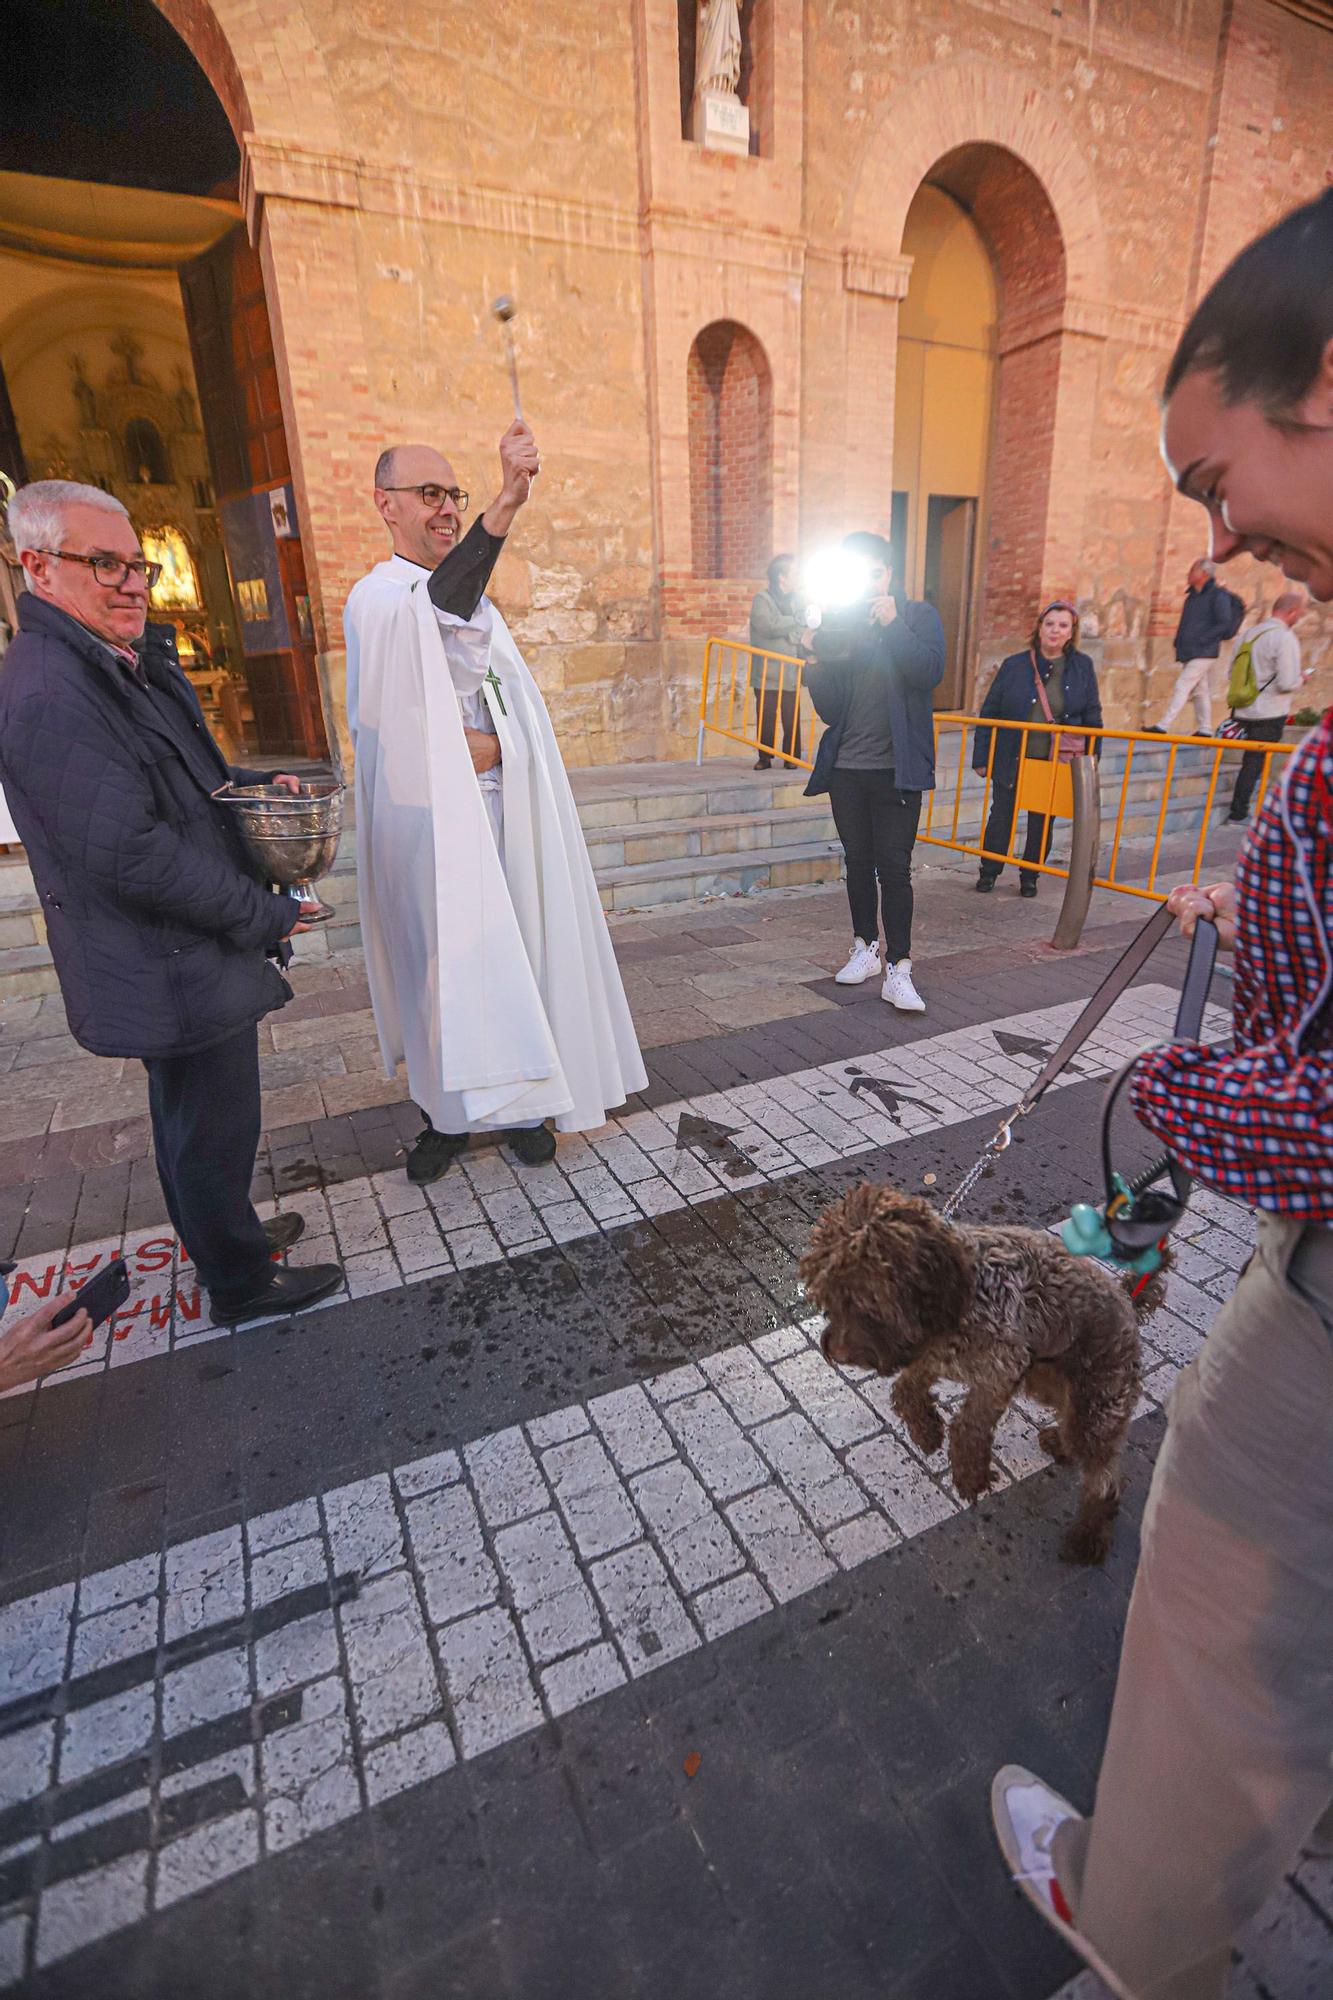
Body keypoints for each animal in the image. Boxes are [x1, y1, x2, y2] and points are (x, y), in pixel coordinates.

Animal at [792, 1184, 1160, 1560]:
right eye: (827, 1297)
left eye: (864, 1300)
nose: (835, 1352)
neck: (960, 1293)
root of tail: (1129, 1301)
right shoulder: (937, 1356)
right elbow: (906, 1388)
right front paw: (926, 1429)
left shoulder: (1001, 1368)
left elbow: (969, 1424)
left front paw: (970, 1473)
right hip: (1046, 1379)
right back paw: (1060, 1443)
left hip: (1096, 1402)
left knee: (1105, 1479)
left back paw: (1089, 1537)